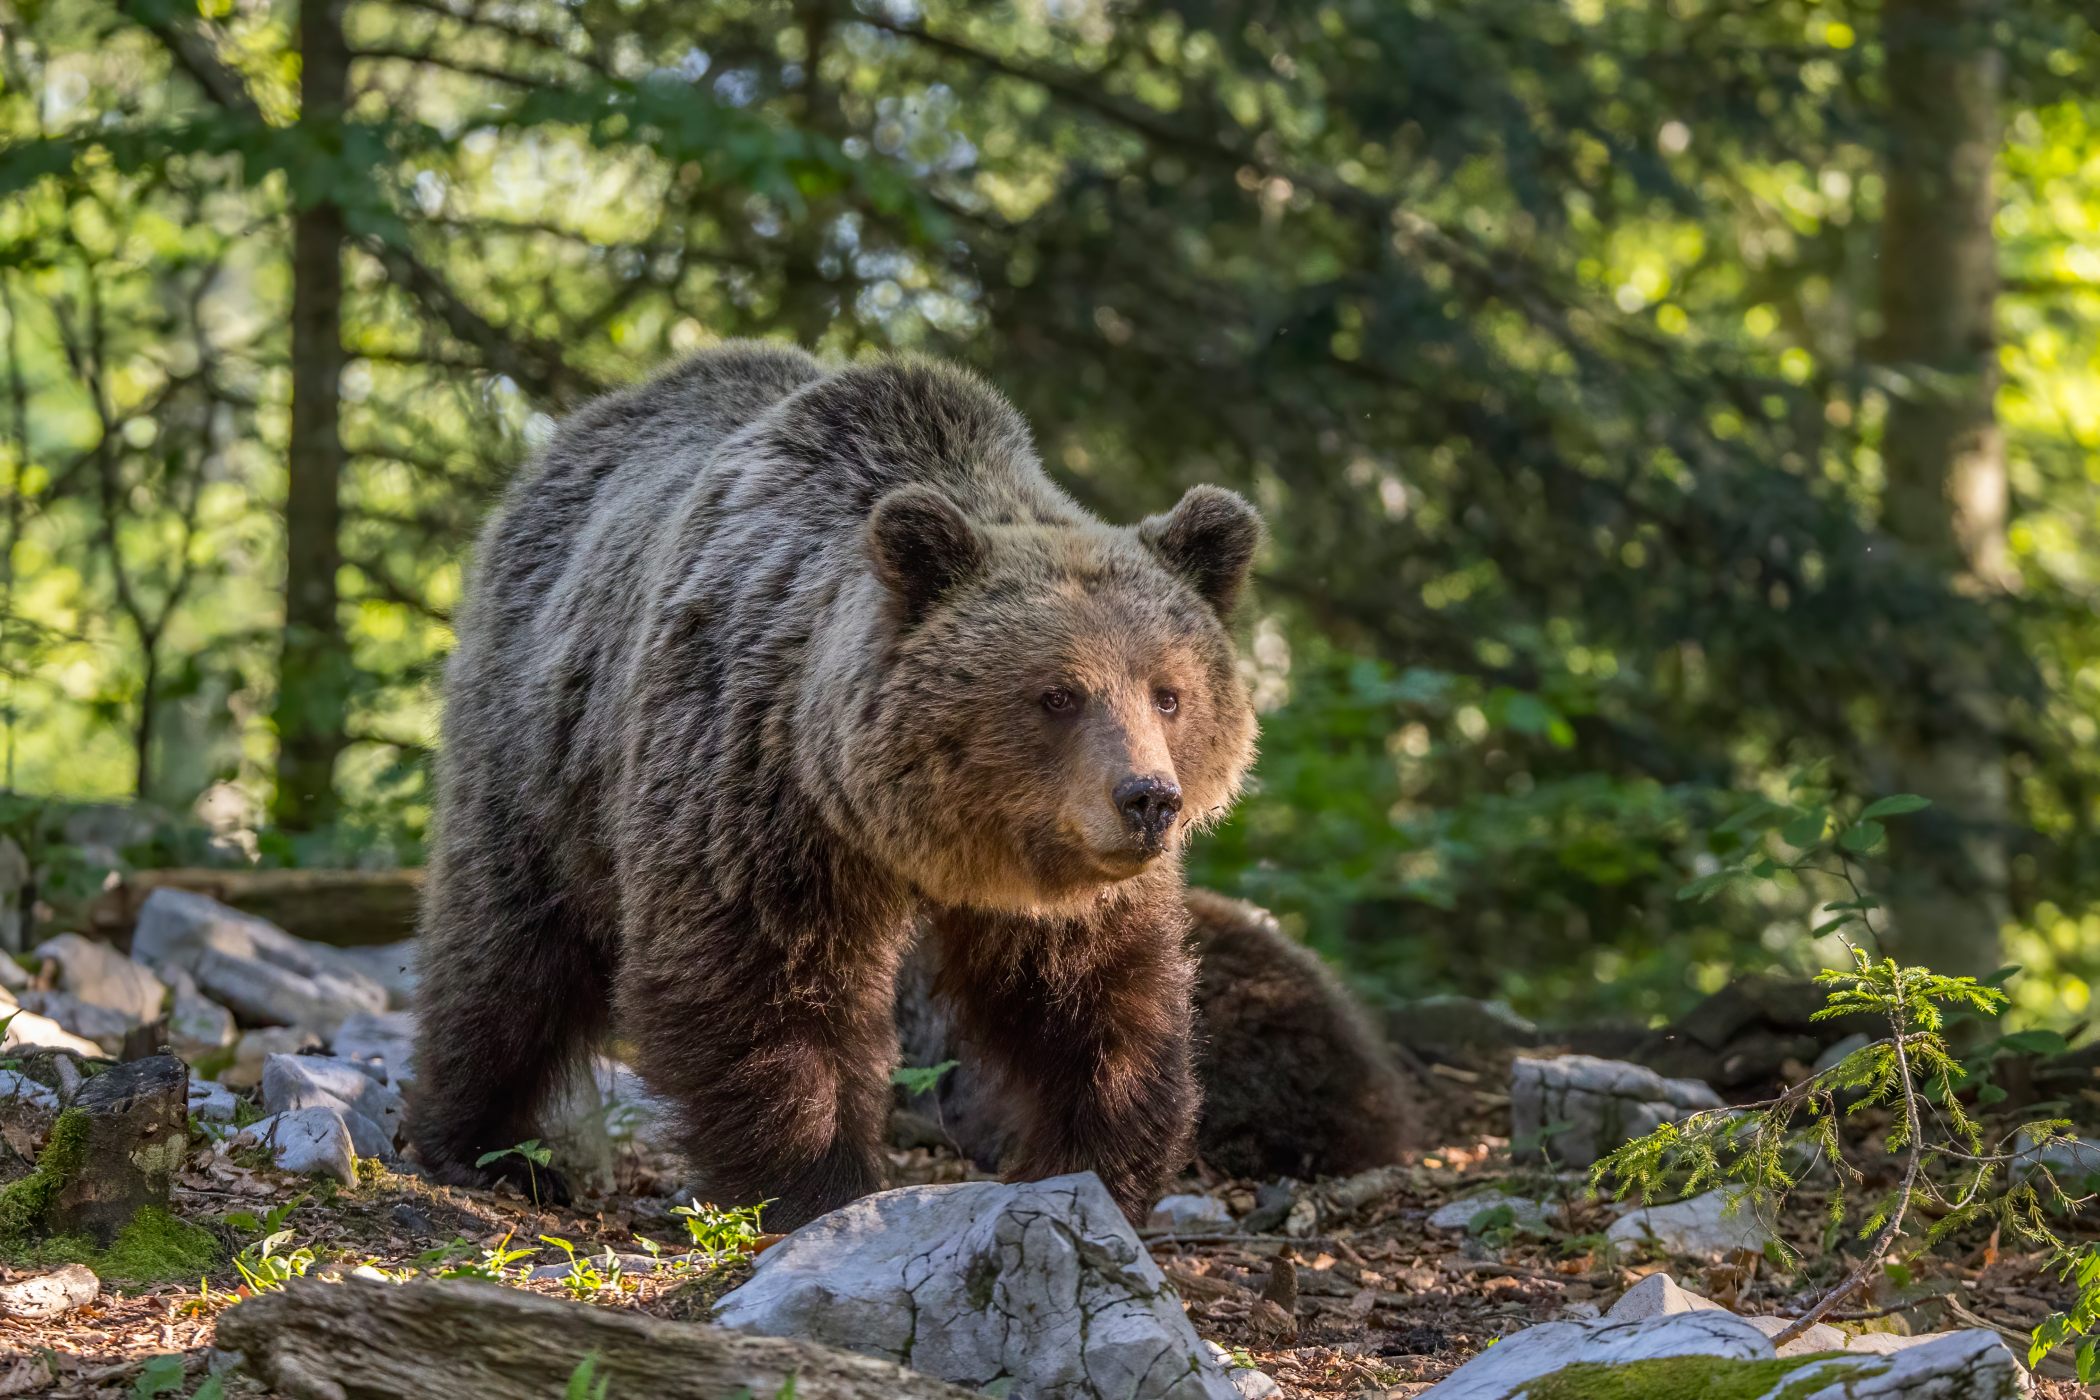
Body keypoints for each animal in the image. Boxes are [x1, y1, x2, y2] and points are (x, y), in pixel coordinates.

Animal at [406, 341, 1262, 1229]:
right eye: (1059, 694)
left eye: (1169, 693)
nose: (1148, 799)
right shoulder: (753, 786)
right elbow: (759, 981)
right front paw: (816, 1183)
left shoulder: (1063, 880)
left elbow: (1095, 998)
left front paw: (1095, 1164)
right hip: (542, 744)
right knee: (508, 948)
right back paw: (487, 1146)